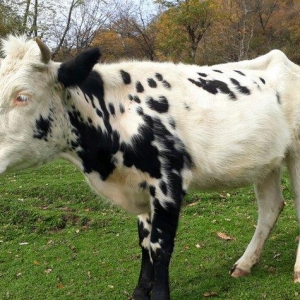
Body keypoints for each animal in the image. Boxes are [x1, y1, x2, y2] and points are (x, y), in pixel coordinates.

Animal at [0, 35, 300, 298]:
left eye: (22, 96)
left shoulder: (168, 183)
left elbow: (160, 246)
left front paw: (159, 294)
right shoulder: (140, 188)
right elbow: (144, 244)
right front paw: (140, 291)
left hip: (296, 153)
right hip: (266, 161)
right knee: (270, 207)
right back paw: (245, 263)